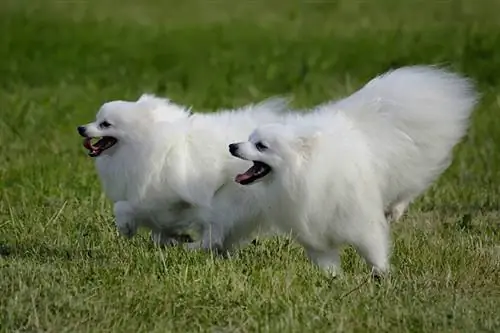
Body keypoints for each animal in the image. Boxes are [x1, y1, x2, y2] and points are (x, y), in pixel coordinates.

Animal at [75, 93, 288, 249]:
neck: (144, 141)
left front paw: (127, 227)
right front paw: (168, 239)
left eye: (105, 124)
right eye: (96, 120)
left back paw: (192, 248)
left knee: (213, 234)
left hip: (231, 198)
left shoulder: (163, 198)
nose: (81, 128)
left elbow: (124, 207)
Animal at [229, 65, 476, 274]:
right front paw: (334, 280)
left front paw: (382, 275)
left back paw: (395, 211)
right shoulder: (314, 233)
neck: (304, 173)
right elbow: (327, 263)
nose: (232, 146)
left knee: (408, 189)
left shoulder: (360, 221)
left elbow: (373, 250)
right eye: (249, 138)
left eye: (261, 146)